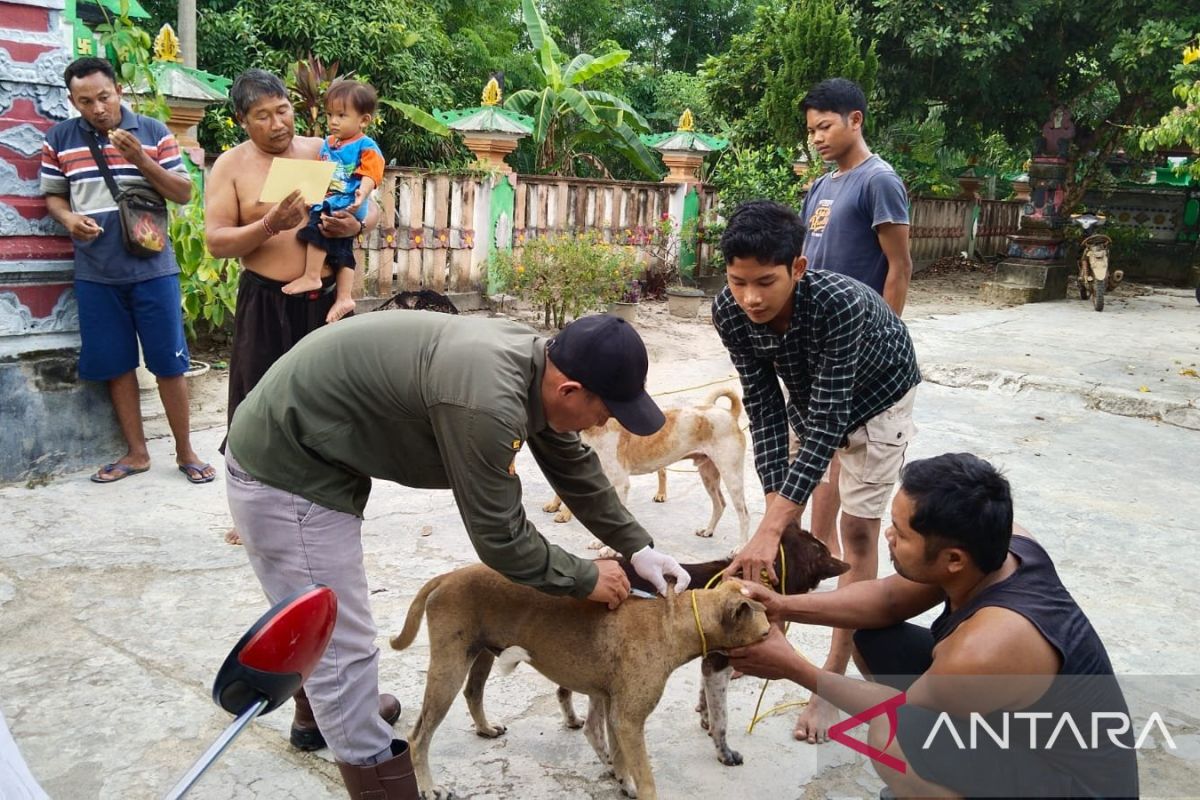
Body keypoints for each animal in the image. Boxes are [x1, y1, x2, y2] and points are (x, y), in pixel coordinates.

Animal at [393, 566, 768, 796]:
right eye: (764, 633)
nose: (773, 641)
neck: (673, 621)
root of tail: (447, 576)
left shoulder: (616, 711)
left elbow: (618, 755)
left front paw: (623, 781)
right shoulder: (629, 719)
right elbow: (646, 778)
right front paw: (637, 785)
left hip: (480, 653)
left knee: (473, 693)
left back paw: (485, 728)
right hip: (448, 669)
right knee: (418, 736)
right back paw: (427, 786)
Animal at [547, 388, 748, 544]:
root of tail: (730, 414)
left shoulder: (620, 484)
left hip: (732, 476)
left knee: (744, 514)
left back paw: (740, 548)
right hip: (708, 475)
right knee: (720, 504)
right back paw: (708, 530)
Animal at [556, 522, 849, 767]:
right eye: (823, 552)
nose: (844, 563)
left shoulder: (713, 662)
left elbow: (706, 698)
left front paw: (704, 717)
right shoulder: (719, 666)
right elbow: (722, 719)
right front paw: (724, 752)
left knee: (563, 690)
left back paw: (572, 720)